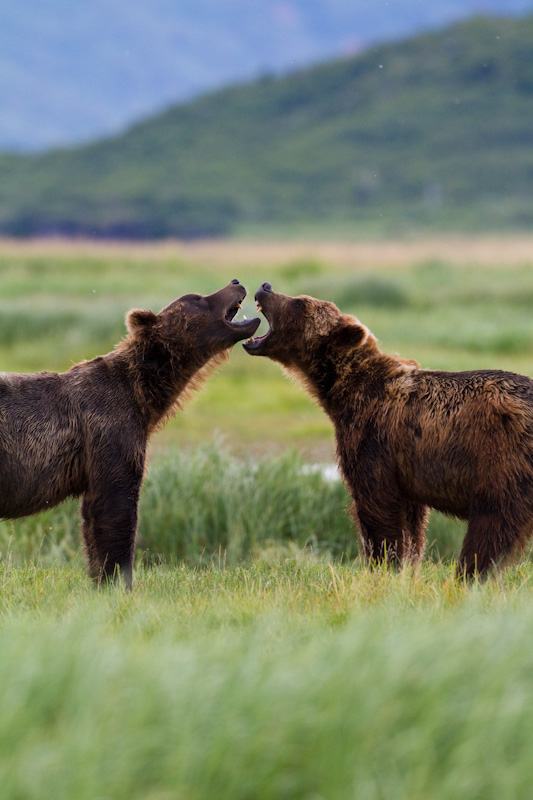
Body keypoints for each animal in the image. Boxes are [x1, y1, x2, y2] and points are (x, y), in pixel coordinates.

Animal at [0, 282, 258, 588]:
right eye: (197, 298)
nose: (235, 282)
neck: (143, 393)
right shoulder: (110, 430)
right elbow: (116, 508)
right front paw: (119, 581)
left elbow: (94, 519)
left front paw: (101, 581)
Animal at [245, 282, 533, 576]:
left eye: (300, 303)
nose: (266, 287)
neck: (342, 391)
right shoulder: (408, 470)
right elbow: (412, 525)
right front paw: (408, 566)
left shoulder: (374, 440)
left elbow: (378, 510)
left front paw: (382, 564)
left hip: (501, 456)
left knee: (493, 520)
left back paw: (471, 572)